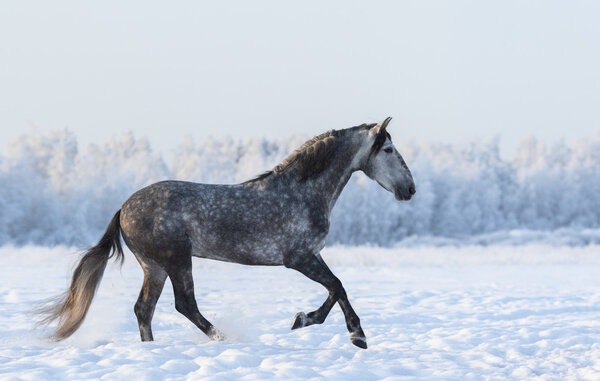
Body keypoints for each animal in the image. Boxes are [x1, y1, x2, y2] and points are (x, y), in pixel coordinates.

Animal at [37, 116, 412, 348]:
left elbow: (336, 289)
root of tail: (123, 209)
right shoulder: (299, 257)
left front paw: (311, 321)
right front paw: (350, 334)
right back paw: (224, 338)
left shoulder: (310, 256)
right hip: (176, 259)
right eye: (389, 149)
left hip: (154, 266)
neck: (303, 192)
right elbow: (337, 287)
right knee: (184, 304)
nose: (410, 189)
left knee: (145, 309)